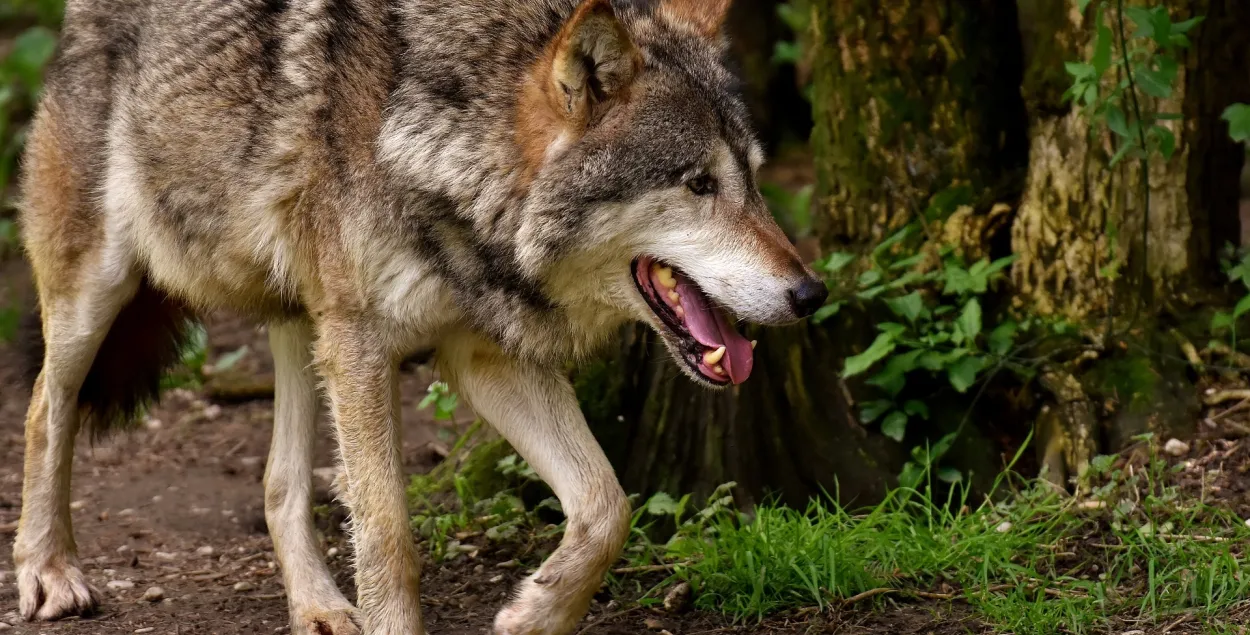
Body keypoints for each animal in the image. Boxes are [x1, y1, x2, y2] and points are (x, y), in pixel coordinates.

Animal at [12, 0, 830, 632]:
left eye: (754, 180)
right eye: (698, 184)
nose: (810, 294)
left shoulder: (480, 355)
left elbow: (607, 507)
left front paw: (535, 614)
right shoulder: (364, 345)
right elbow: (389, 537)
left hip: (303, 321)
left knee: (280, 483)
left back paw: (319, 607)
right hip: (101, 288)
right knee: (45, 407)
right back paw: (48, 571)